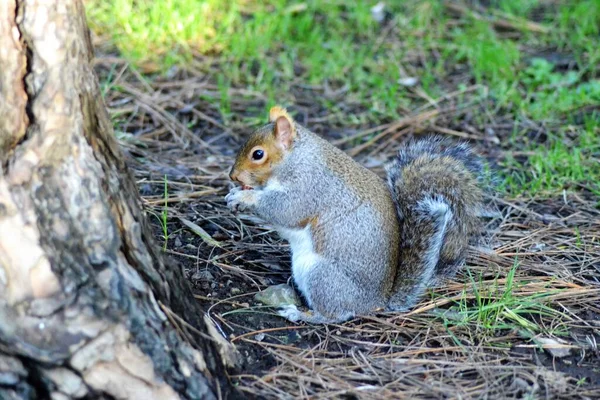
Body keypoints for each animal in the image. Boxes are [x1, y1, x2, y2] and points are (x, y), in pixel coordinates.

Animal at [226, 107, 488, 324]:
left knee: (335, 314)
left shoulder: (310, 187)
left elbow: (286, 210)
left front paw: (245, 198)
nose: (233, 176)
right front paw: (235, 194)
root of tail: (376, 303)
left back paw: (301, 314)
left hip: (322, 276)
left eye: (258, 154)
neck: (296, 158)